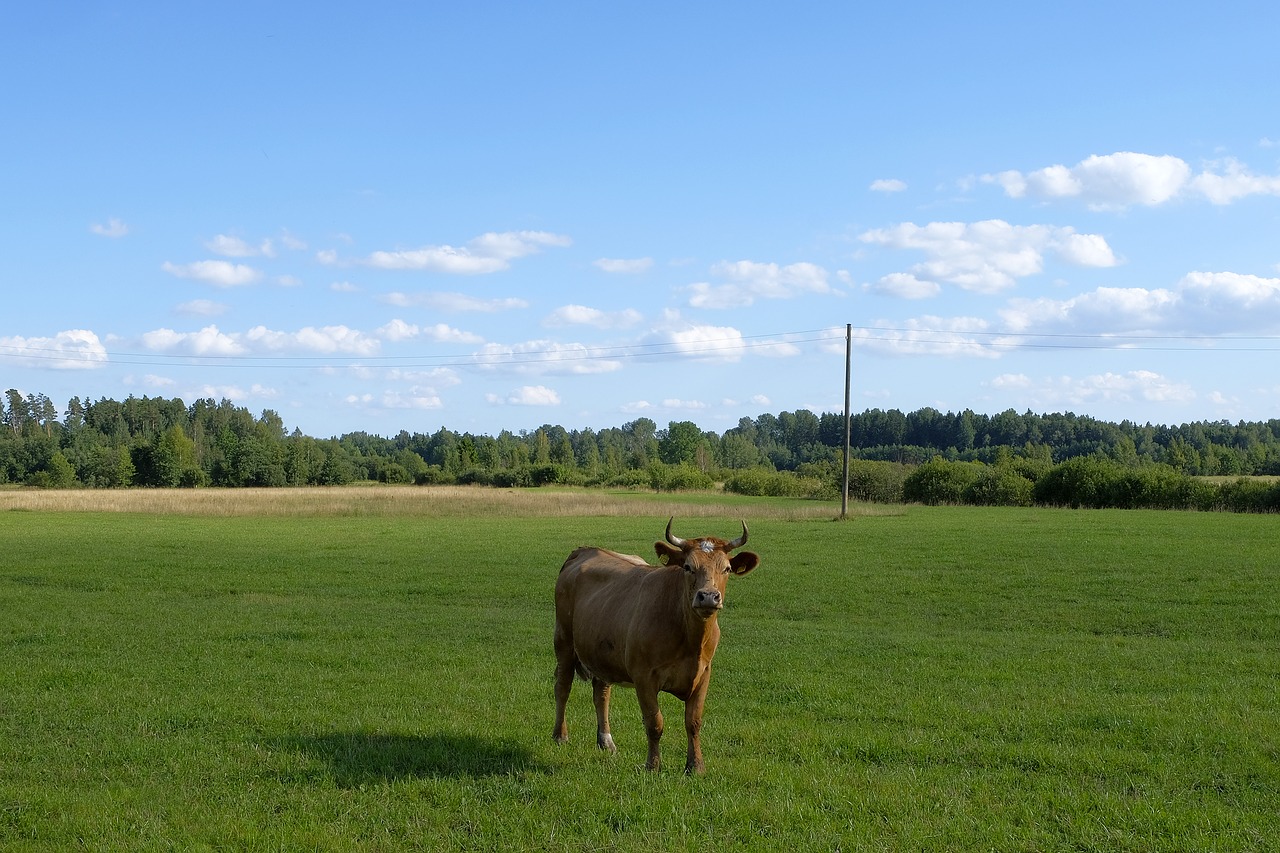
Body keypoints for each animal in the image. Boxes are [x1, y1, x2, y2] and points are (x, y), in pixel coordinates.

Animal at [552, 514, 757, 773]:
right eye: (688, 567)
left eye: (727, 569)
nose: (708, 596)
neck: (690, 640)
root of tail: (586, 550)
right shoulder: (644, 677)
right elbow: (654, 722)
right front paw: (653, 765)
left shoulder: (704, 673)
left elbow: (694, 721)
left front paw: (696, 766)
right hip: (564, 641)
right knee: (563, 687)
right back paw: (560, 735)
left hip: (602, 651)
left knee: (601, 693)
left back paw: (606, 741)